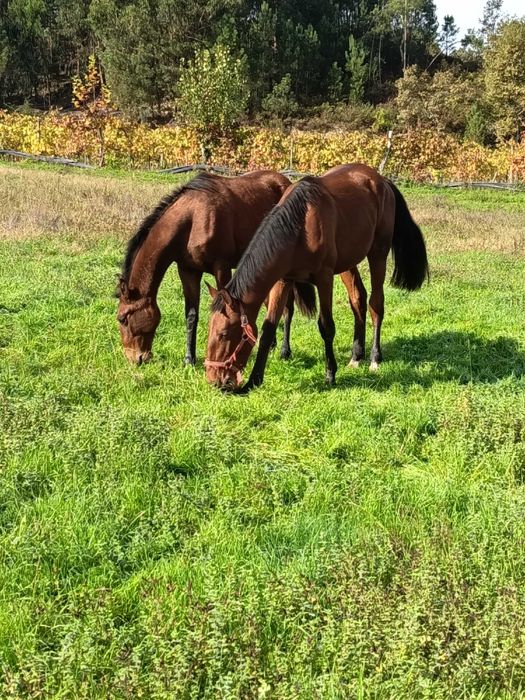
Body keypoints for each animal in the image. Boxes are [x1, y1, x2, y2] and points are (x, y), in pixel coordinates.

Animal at [116, 170, 293, 366]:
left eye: (122, 319)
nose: (135, 358)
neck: (193, 219)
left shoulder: (222, 267)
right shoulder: (188, 271)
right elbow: (191, 315)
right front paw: (189, 359)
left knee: (288, 308)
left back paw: (285, 351)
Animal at [205, 163, 429, 392]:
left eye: (224, 334)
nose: (214, 380)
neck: (300, 226)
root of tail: (381, 180)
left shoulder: (324, 279)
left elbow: (326, 326)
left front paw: (330, 375)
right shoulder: (283, 280)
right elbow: (268, 328)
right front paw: (253, 380)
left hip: (378, 254)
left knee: (376, 304)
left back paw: (375, 358)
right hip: (348, 263)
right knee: (358, 299)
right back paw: (356, 356)